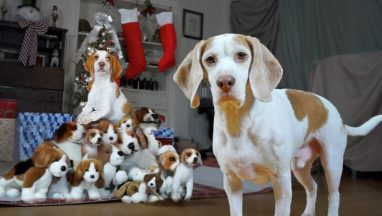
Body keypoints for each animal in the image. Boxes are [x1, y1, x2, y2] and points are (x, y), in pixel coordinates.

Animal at [173, 33, 382, 216]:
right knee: (313, 187)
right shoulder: (232, 183)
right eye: (210, 59)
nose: (225, 81)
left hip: (332, 163)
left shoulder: (281, 181)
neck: (239, 123)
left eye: (241, 55)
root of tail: (331, 108)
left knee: (334, 195)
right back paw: (308, 212)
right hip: (299, 167)